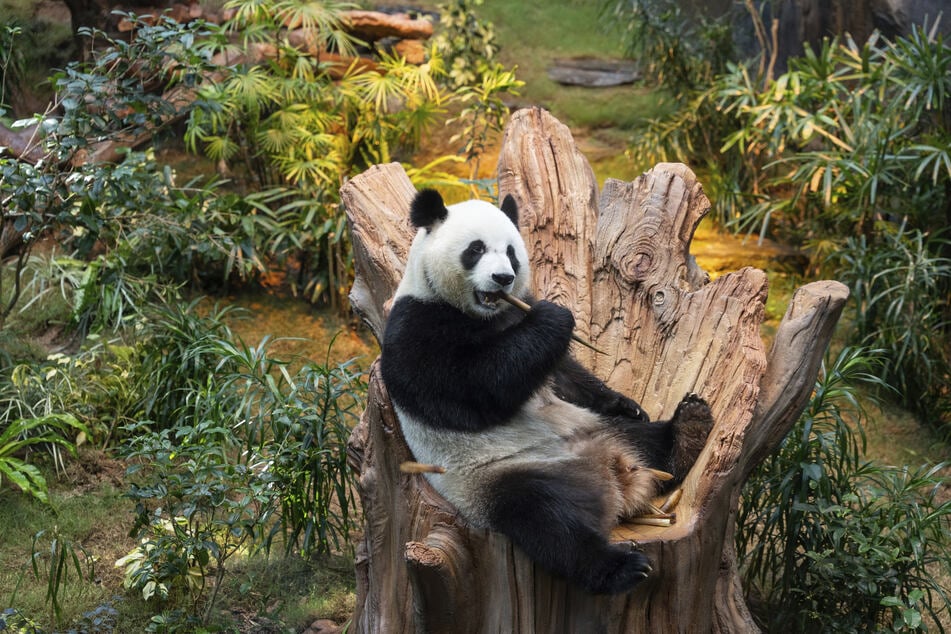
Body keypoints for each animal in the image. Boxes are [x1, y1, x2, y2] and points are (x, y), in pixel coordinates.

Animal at [380, 188, 713, 595]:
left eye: (511, 252)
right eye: (475, 249)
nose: (503, 278)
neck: (484, 314)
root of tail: (612, 477)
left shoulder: (517, 317)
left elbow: (564, 374)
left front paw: (626, 403)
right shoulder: (416, 325)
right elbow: (472, 390)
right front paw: (555, 318)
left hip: (599, 430)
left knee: (646, 440)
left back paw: (689, 428)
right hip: (501, 480)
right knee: (551, 524)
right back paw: (621, 567)